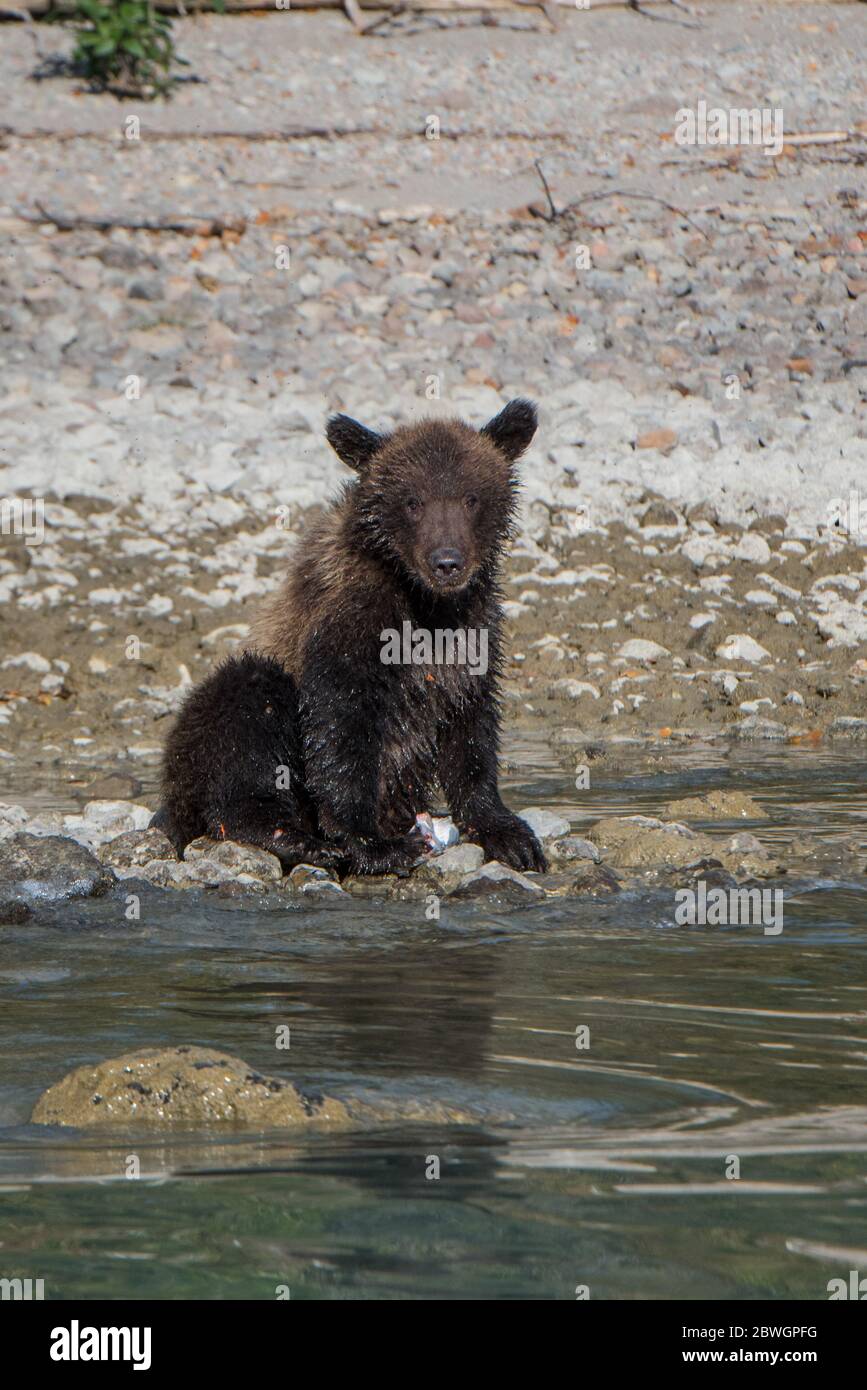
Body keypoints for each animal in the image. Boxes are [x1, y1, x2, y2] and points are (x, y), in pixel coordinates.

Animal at [154, 399, 546, 877]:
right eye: (413, 501)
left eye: (471, 498)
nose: (447, 561)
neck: (425, 601)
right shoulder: (350, 617)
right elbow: (341, 719)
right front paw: (372, 843)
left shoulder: (473, 633)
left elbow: (470, 727)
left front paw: (508, 834)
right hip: (207, 737)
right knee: (248, 708)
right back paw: (295, 839)